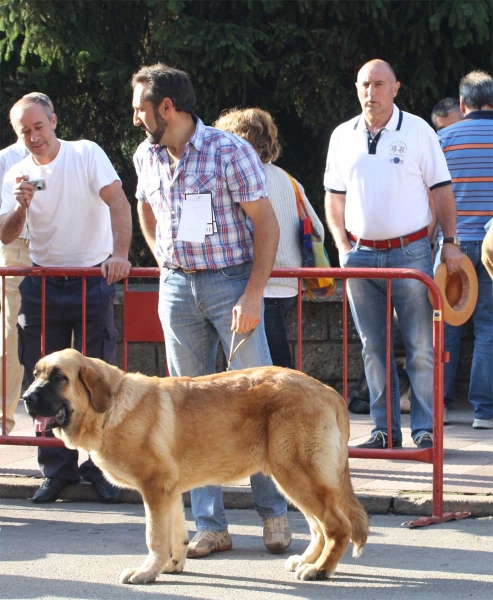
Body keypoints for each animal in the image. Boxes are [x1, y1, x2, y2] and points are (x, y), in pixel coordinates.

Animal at [25, 350, 368, 584]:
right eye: (35, 374)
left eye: (59, 378)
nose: (27, 398)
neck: (110, 408)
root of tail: (328, 391)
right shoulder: (169, 492)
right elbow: (174, 533)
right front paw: (171, 565)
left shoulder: (154, 488)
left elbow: (155, 536)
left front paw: (146, 572)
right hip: (295, 477)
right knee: (319, 527)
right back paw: (307, 561)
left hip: (297, 475)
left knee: (336, 526)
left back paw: (319, 569)